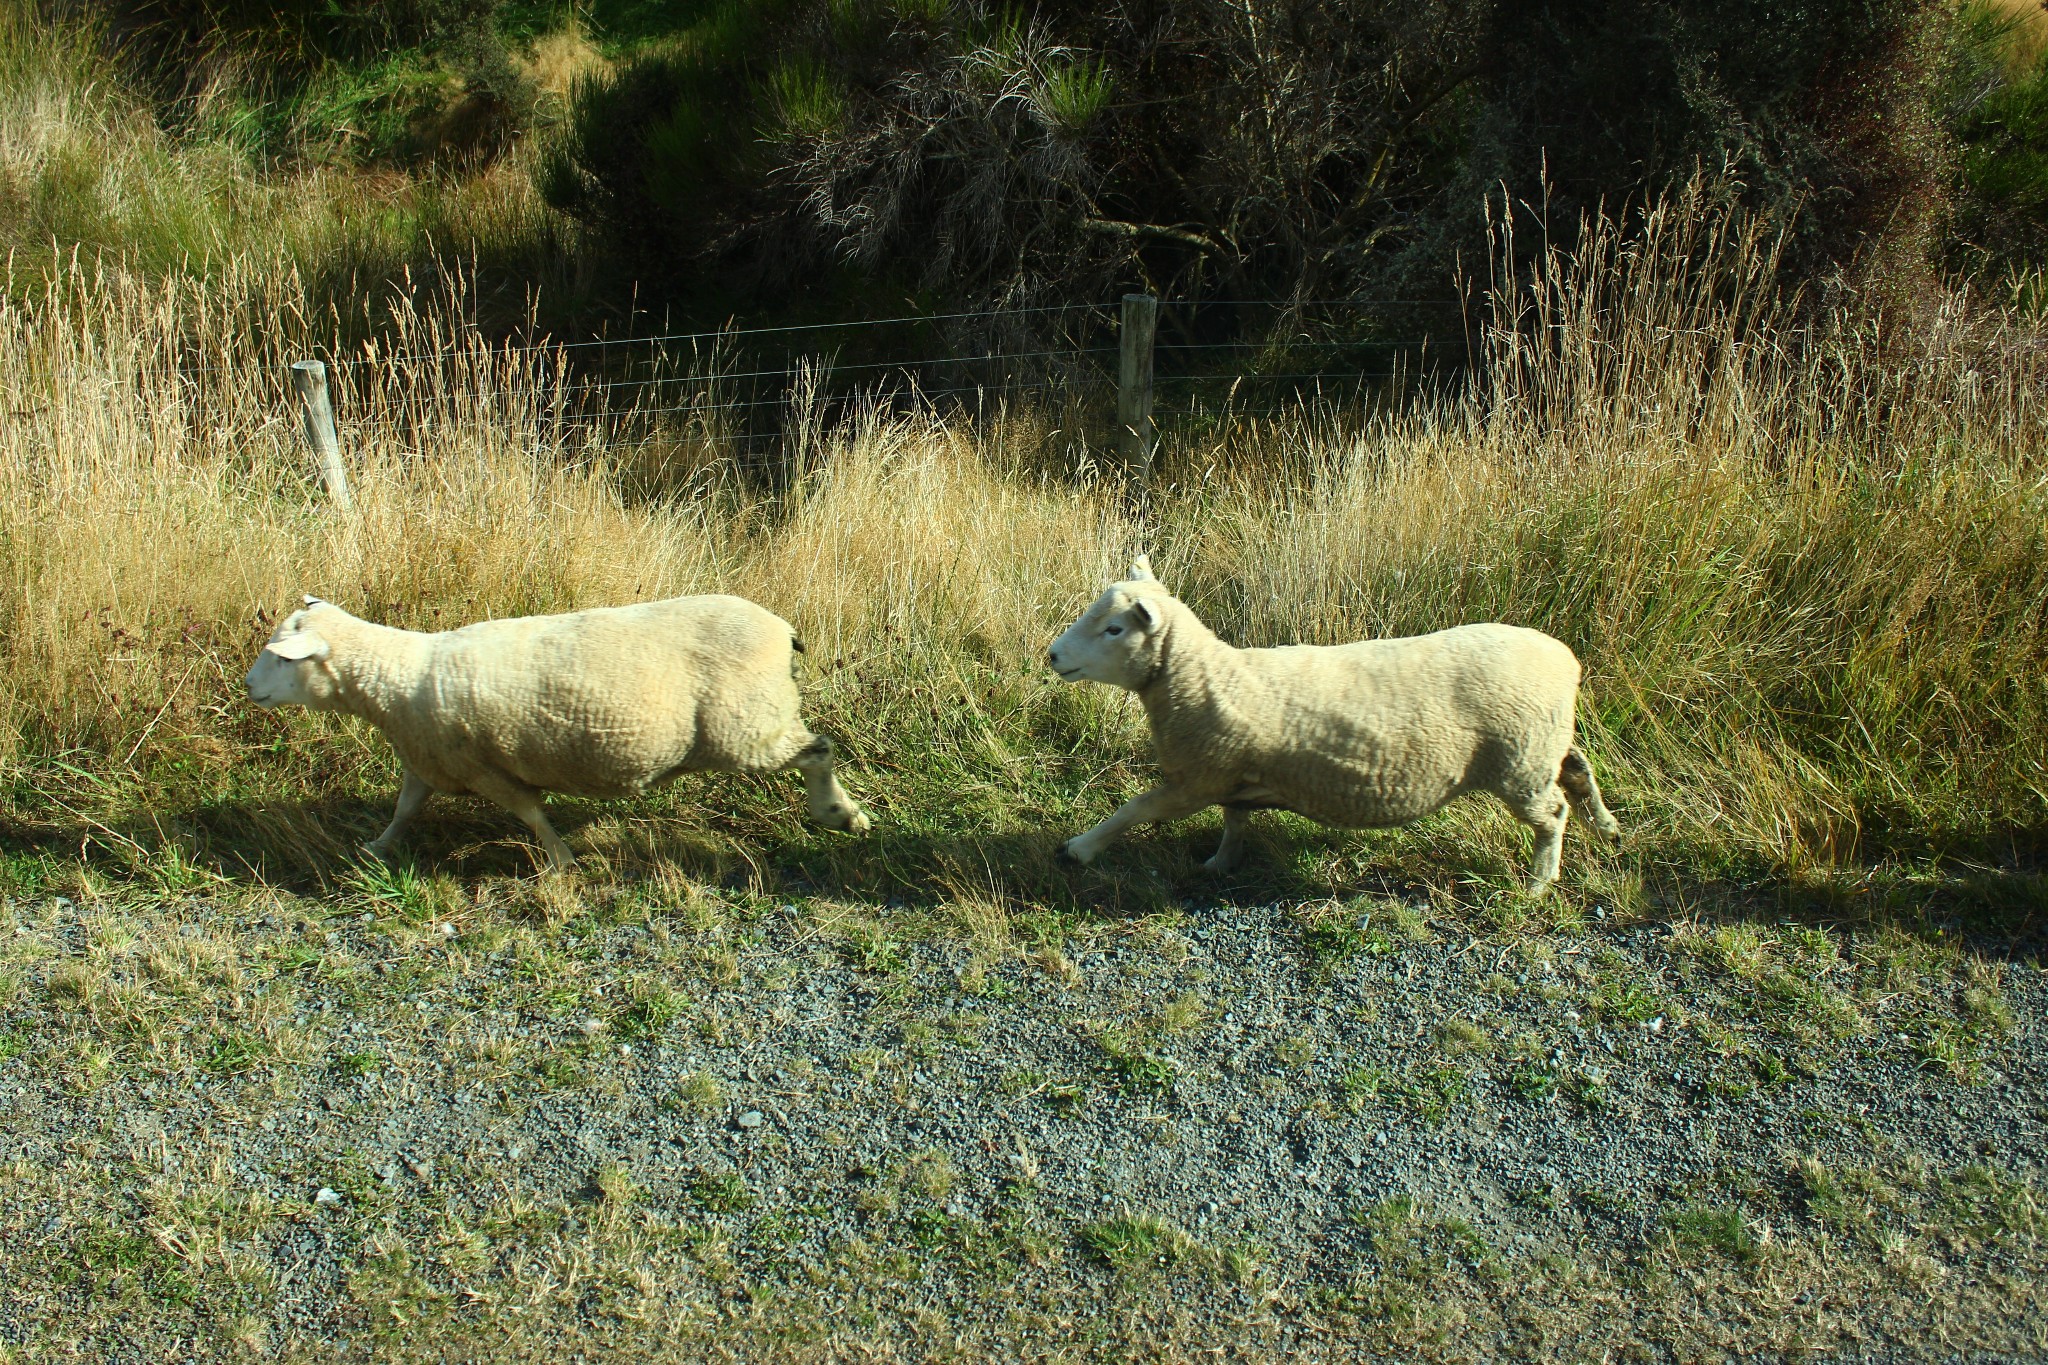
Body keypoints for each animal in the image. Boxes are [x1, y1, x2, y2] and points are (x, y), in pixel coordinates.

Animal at [245, 593, 872, 871]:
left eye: (280, 657)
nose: (248, 687)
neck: (398, 676)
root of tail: (783, 630)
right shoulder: (428, 760)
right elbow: (404, 809)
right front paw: (376, 848)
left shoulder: (486, 769)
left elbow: (532, 814)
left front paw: (561, 862)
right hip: (756, 721)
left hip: (747, 726)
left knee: (819, 749)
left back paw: (839, 814)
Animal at [1056, 556, 1613, 896]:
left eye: (1114, 629)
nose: (1053, 655)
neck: (1202, 676)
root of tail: (1566, 661)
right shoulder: (1233, 775)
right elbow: (1234, 822)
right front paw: (1220, 864)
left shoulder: (1198, 777)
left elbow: (1134, 809)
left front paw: (1080, 849)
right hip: (1542, 746)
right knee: (1577, 770)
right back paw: (1605, 823)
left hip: (1519, 760)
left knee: (1553, 813)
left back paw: (1540, 881)